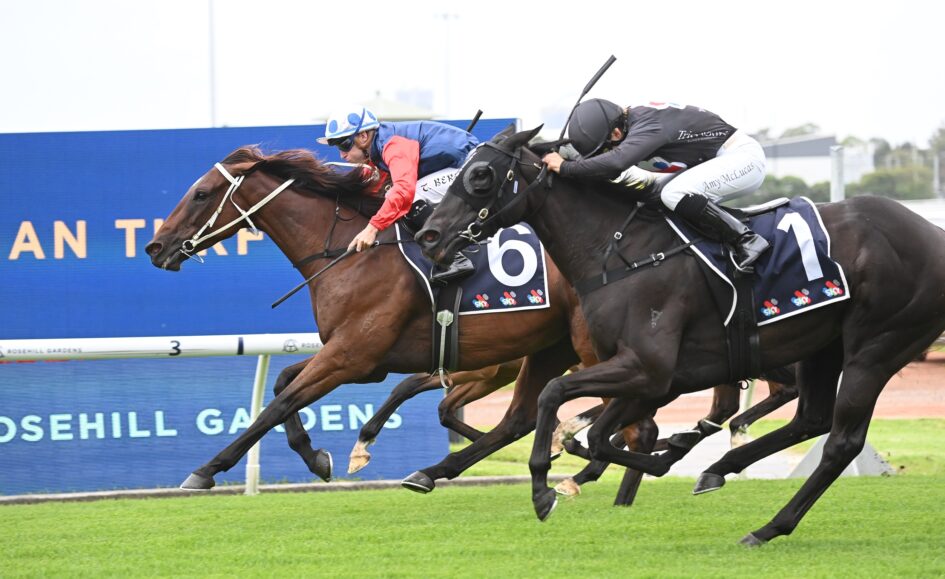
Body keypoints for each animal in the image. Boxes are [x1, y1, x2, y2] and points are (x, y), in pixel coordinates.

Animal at [416, 126, 945, 545]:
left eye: (480, 175)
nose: (428, 234)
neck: (624, 253)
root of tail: (932, 233)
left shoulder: (647, 368)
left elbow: (556, 396)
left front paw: (545, 489)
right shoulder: (650, 377)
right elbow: (604, 435)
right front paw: (658, 454)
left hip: (875, 347)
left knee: (841, 443)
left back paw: (768, 526)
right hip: (823, 346)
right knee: (810, 419)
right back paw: (719, 471)